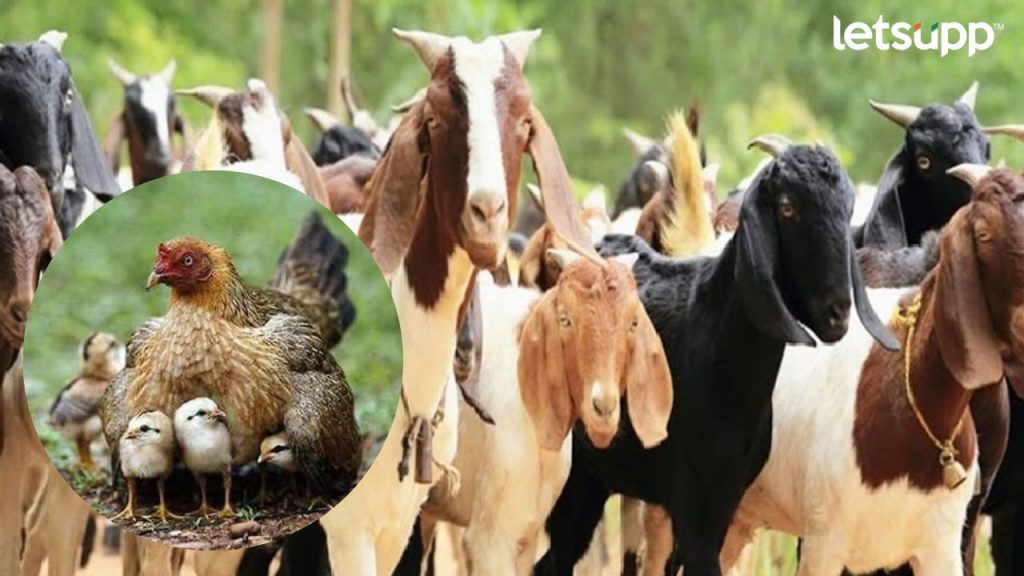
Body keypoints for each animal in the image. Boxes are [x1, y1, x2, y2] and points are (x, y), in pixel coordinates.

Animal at [538, 135, 898, 576]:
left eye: (847, 209)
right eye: (787, 207)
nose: (837, 312)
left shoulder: (723, 499)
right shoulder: (694, 504)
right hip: (577, 478)